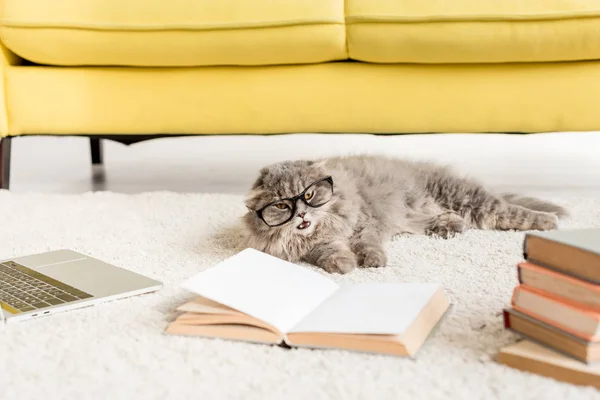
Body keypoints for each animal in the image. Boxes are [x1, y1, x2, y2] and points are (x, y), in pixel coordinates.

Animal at [241, 155, 568, 274]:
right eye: (282, 206)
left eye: (307, 195)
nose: (301, 214)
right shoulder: (315, 246)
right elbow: (330, 252)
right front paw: (343, 264)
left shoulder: (366, 224)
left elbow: (368, 244)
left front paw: (372, 261)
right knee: (454, 219)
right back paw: (448, 227)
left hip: (468, 198)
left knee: (510, 211)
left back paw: (549, 221)